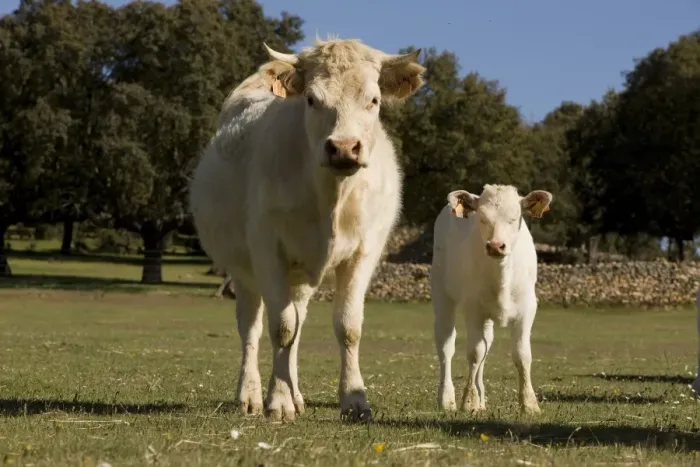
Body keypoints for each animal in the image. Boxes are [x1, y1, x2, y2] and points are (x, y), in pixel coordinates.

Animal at [188, 37, 425, 422]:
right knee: (252, 327)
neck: (331, 198)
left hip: (299, 276)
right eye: (312, 99)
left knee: (297, 322)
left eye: (374, 100)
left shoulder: (363, 253)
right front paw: (278, 402)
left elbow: (347, 327)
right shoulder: (267, 249)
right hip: (244, 271)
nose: (343, 148)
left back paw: (297, 394)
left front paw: (354, 401)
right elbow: (280, 328)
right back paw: (250, 396)